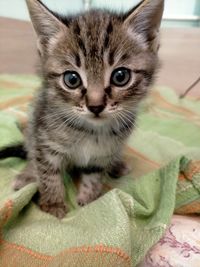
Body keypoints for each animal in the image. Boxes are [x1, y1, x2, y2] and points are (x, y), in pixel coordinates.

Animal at [0, 0, 164, 218]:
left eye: (120, 76)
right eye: (72, 79)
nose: (95, 106)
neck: (90, 131)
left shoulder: (101, 154)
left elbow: (94, 176)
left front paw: (89, 201)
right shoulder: (46, 142)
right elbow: (48, 173)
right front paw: (53, 204)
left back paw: (117, 164)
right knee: (31, 152)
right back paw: (27, 174)